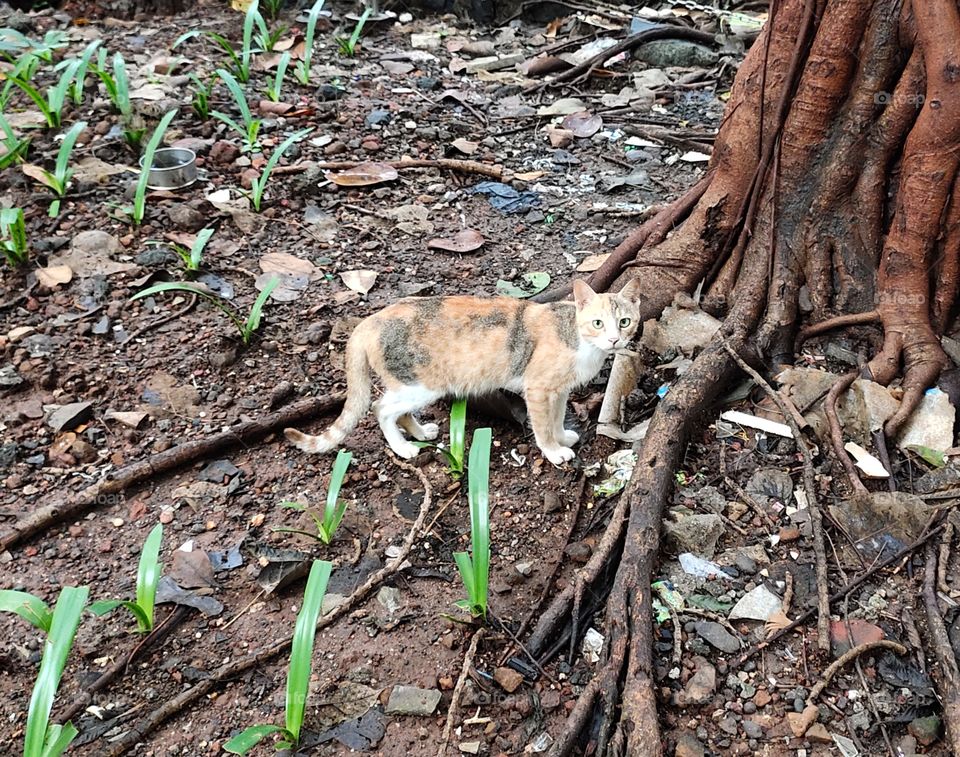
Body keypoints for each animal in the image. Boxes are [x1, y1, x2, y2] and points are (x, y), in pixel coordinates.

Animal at [284, 280, 644, 464]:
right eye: (597, 323)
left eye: (625, 321)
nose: (614, 339)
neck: (581, 342)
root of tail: (369, 321)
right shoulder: (539, 388)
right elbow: (542, 425)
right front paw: (554, 451)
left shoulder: (559, 390)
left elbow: (555, 419)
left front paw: (562, 436)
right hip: (420, 384)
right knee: (380, 408)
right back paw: (403, 448)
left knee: (397, 411)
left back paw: (419, 433)